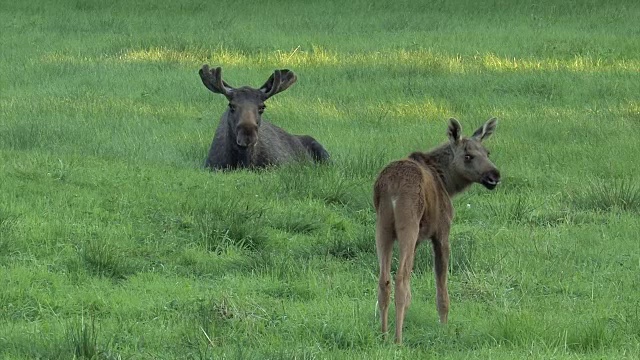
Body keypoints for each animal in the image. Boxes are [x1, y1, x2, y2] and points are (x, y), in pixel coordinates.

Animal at [372, 117, 502, 344]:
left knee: (384, 280)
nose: (494, 175)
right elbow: (441, 287)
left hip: (383, 227)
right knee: (400, 279)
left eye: (488, 152)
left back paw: (384, 334)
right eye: (468, 156)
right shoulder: (441, 232)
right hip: (409, 224)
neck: (448, 182)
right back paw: (398, 339)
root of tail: (392, 187)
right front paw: (444, 328)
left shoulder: (417, 240)